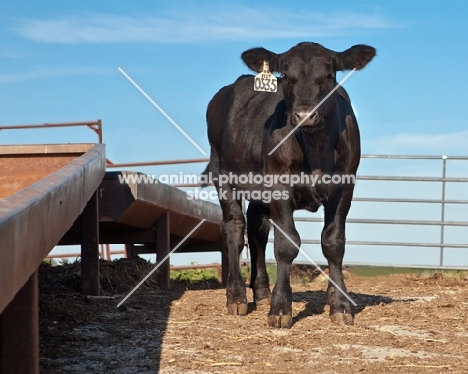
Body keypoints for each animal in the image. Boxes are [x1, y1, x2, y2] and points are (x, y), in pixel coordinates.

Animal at [207, 41, 374, 328]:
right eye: (285, 76)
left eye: (329, 76)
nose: (305, 115)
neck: (316, 149)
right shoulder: (279, 186)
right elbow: (286, 244)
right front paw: (281, 307)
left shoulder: (344, 187)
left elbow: (334, 242)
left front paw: (339, 304)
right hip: (222, 172)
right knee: (235, 229)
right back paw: (237, 296)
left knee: (257, 229)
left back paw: (261, 291)